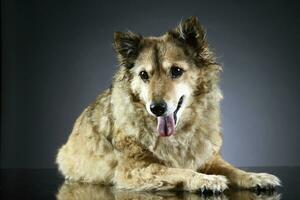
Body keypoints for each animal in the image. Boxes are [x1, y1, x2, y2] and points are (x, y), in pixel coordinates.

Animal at [56, 16, 282, 192]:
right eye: (144, 75)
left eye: (176, 71)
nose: (157, 108)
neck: (178, 135)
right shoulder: (133, 169)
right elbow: (179, 169)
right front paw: (205, 179)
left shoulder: (210, 159)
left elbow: (234, 170)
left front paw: (256, 177)